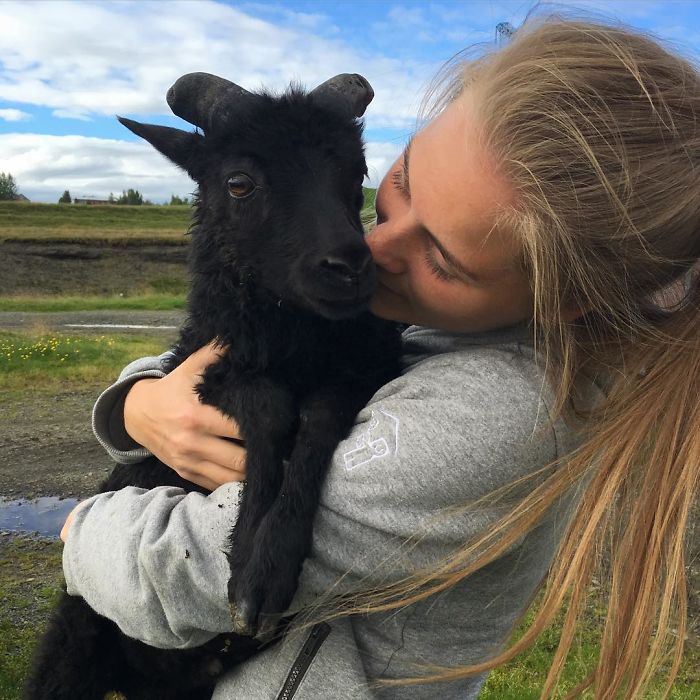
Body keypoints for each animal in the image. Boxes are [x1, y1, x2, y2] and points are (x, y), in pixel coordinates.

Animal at [24, 72, 401, 700]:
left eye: (358, 173)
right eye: (239, 182)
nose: (349, 268)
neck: (292, 345)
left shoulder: (359, 373)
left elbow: (319, 418)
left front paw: (267, 567)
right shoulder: (211, 374)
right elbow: (271, 410)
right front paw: (250, 564)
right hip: (71, 643)